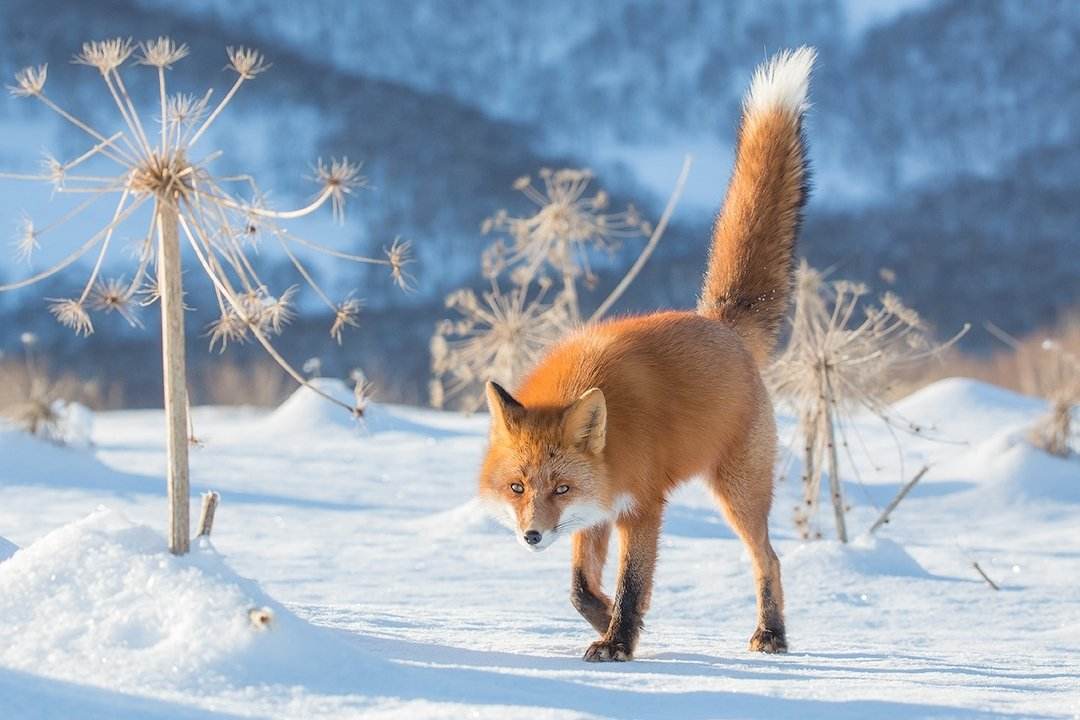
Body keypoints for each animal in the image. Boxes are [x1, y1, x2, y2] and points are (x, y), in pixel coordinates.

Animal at [477, 47, 812, 660]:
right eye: (517, 487)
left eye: (559, 487)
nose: (531, 535)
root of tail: (720, 323)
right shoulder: (595, 511)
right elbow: (580, 589)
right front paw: (610, 623)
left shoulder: (640, 505)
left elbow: (633, 582)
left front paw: (618, 641)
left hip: (739, 492)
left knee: (769, 559)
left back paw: (771, 633)